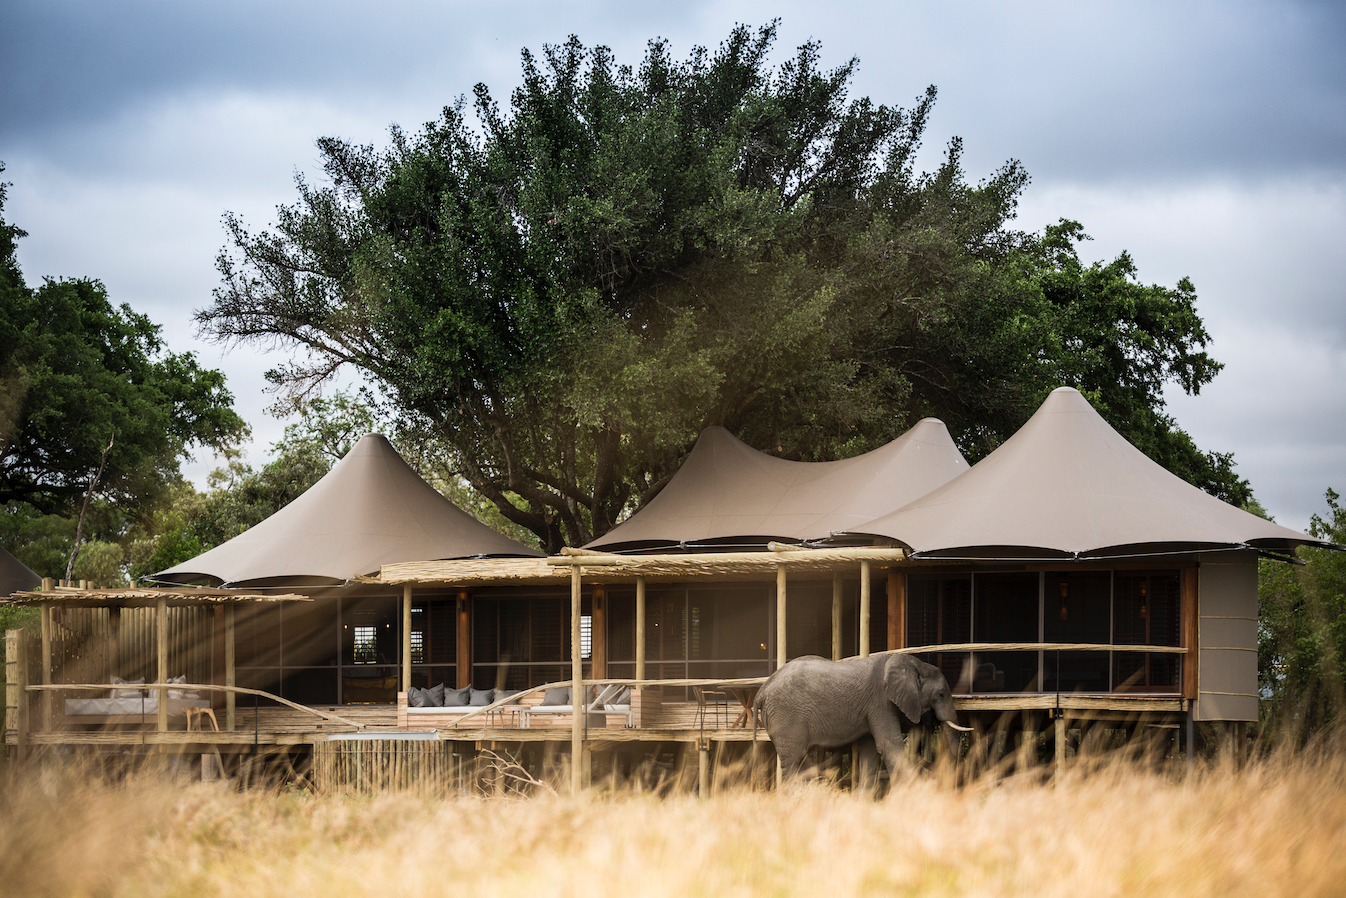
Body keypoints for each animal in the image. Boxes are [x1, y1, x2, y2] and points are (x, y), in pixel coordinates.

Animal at [759, 654, 969, 780]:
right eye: (941, 694)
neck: (912, 663)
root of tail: (762, 690)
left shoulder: (871, 710)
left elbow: (870, 752)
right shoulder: (881, 703)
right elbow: (890, 745)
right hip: (786, 717)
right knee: (794, 761)